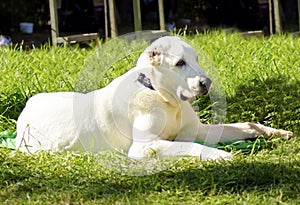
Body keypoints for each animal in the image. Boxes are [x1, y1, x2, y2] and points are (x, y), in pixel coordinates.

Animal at [15, 36, 292, 160]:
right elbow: (190, 145)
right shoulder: (142, 148)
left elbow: (247, 125)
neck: (164, 100)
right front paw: (218, 154)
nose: (207, 83)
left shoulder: (198, 129)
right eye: (179, 63)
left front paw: (275, 131)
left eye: (196, 59)